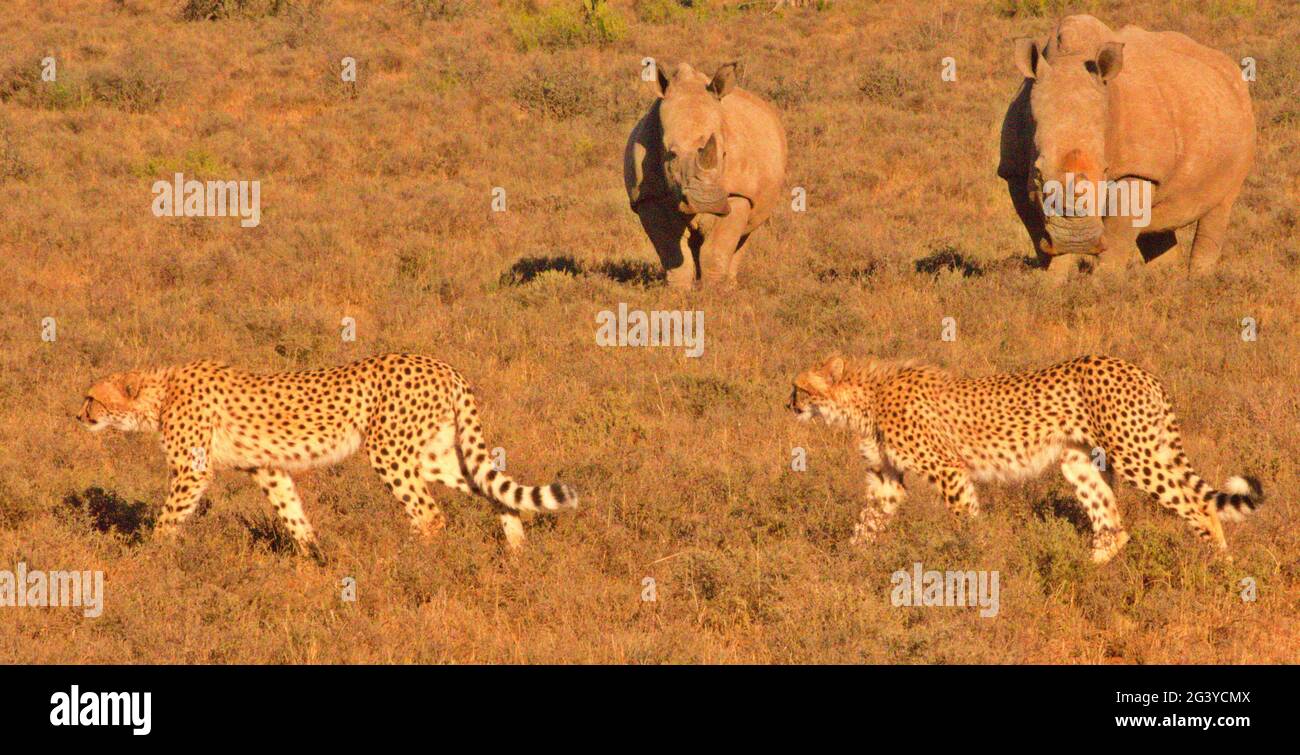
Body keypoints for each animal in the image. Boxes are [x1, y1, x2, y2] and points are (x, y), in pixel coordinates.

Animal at [74, 350, 574, 556]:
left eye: (91, 398)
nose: (77, 416)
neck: (158, 394)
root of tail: (440, 364)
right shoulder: (268, 468)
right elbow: (293, 514)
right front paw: (315, 556)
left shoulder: (191, 471)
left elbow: (167, 519)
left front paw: (149, 559)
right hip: (432, 455)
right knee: (490, 488)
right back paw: (516, 548)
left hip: (389, 452)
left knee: (429, 514)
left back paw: (412, 561)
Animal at [624, 62, 785, 288]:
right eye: (671, 154)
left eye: (724, 154)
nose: (706, 202)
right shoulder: (648, 196)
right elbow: (671, 251)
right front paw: (678, 291)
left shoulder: (738, 194)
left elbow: (717, 248)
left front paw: (715, 292)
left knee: (745, 234)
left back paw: (730, 286)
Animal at [785, 353, 1263, 558]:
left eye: (798, 387)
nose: (787, 404)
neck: (866, 398)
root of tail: (1138, 368)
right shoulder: (887, 480)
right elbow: (865, 525)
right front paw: (846, 567)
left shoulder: (949, 471)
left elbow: (965, 524)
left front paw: (972, 565)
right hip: (1078, 461)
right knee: (1113, 527)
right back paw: (1083, 570)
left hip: (1135, 454)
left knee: (1199, 505)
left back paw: (1217, 568)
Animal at [998, 15, 1253, 274]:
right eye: (1038, 173)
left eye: (1105, 170)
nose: (1078, 241)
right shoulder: (1014, 171)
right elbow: (1037, 231)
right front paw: (1050, 280)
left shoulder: (1137, 169)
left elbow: (1117, 236)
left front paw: (1104, 281)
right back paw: (1166, 277)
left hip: (1239, 118)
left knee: (1220, 207)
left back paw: (1198, 277)